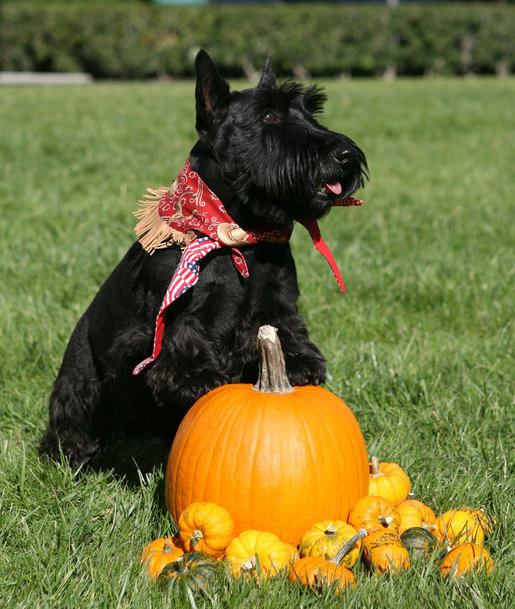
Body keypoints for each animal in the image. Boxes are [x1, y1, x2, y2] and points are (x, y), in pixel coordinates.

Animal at [38, 50, 366, 464]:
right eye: (269, 116)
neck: (239, 236)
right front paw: (196, 375)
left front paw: (298, 363)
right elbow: (182, 344)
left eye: (311, 111)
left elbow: (283, 329)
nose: (346, 155)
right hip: (80, 383)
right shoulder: (172, 319)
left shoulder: (278, 302)